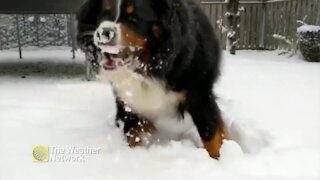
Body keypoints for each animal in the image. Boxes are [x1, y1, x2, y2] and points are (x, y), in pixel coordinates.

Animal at [77, 0, 228, 158]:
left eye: (134, 17)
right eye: (105, 13)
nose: (103, 33)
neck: (148, 68)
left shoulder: (200, 94)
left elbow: (211, 136)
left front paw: (217, 159)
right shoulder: (131, 104)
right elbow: (133, 136)